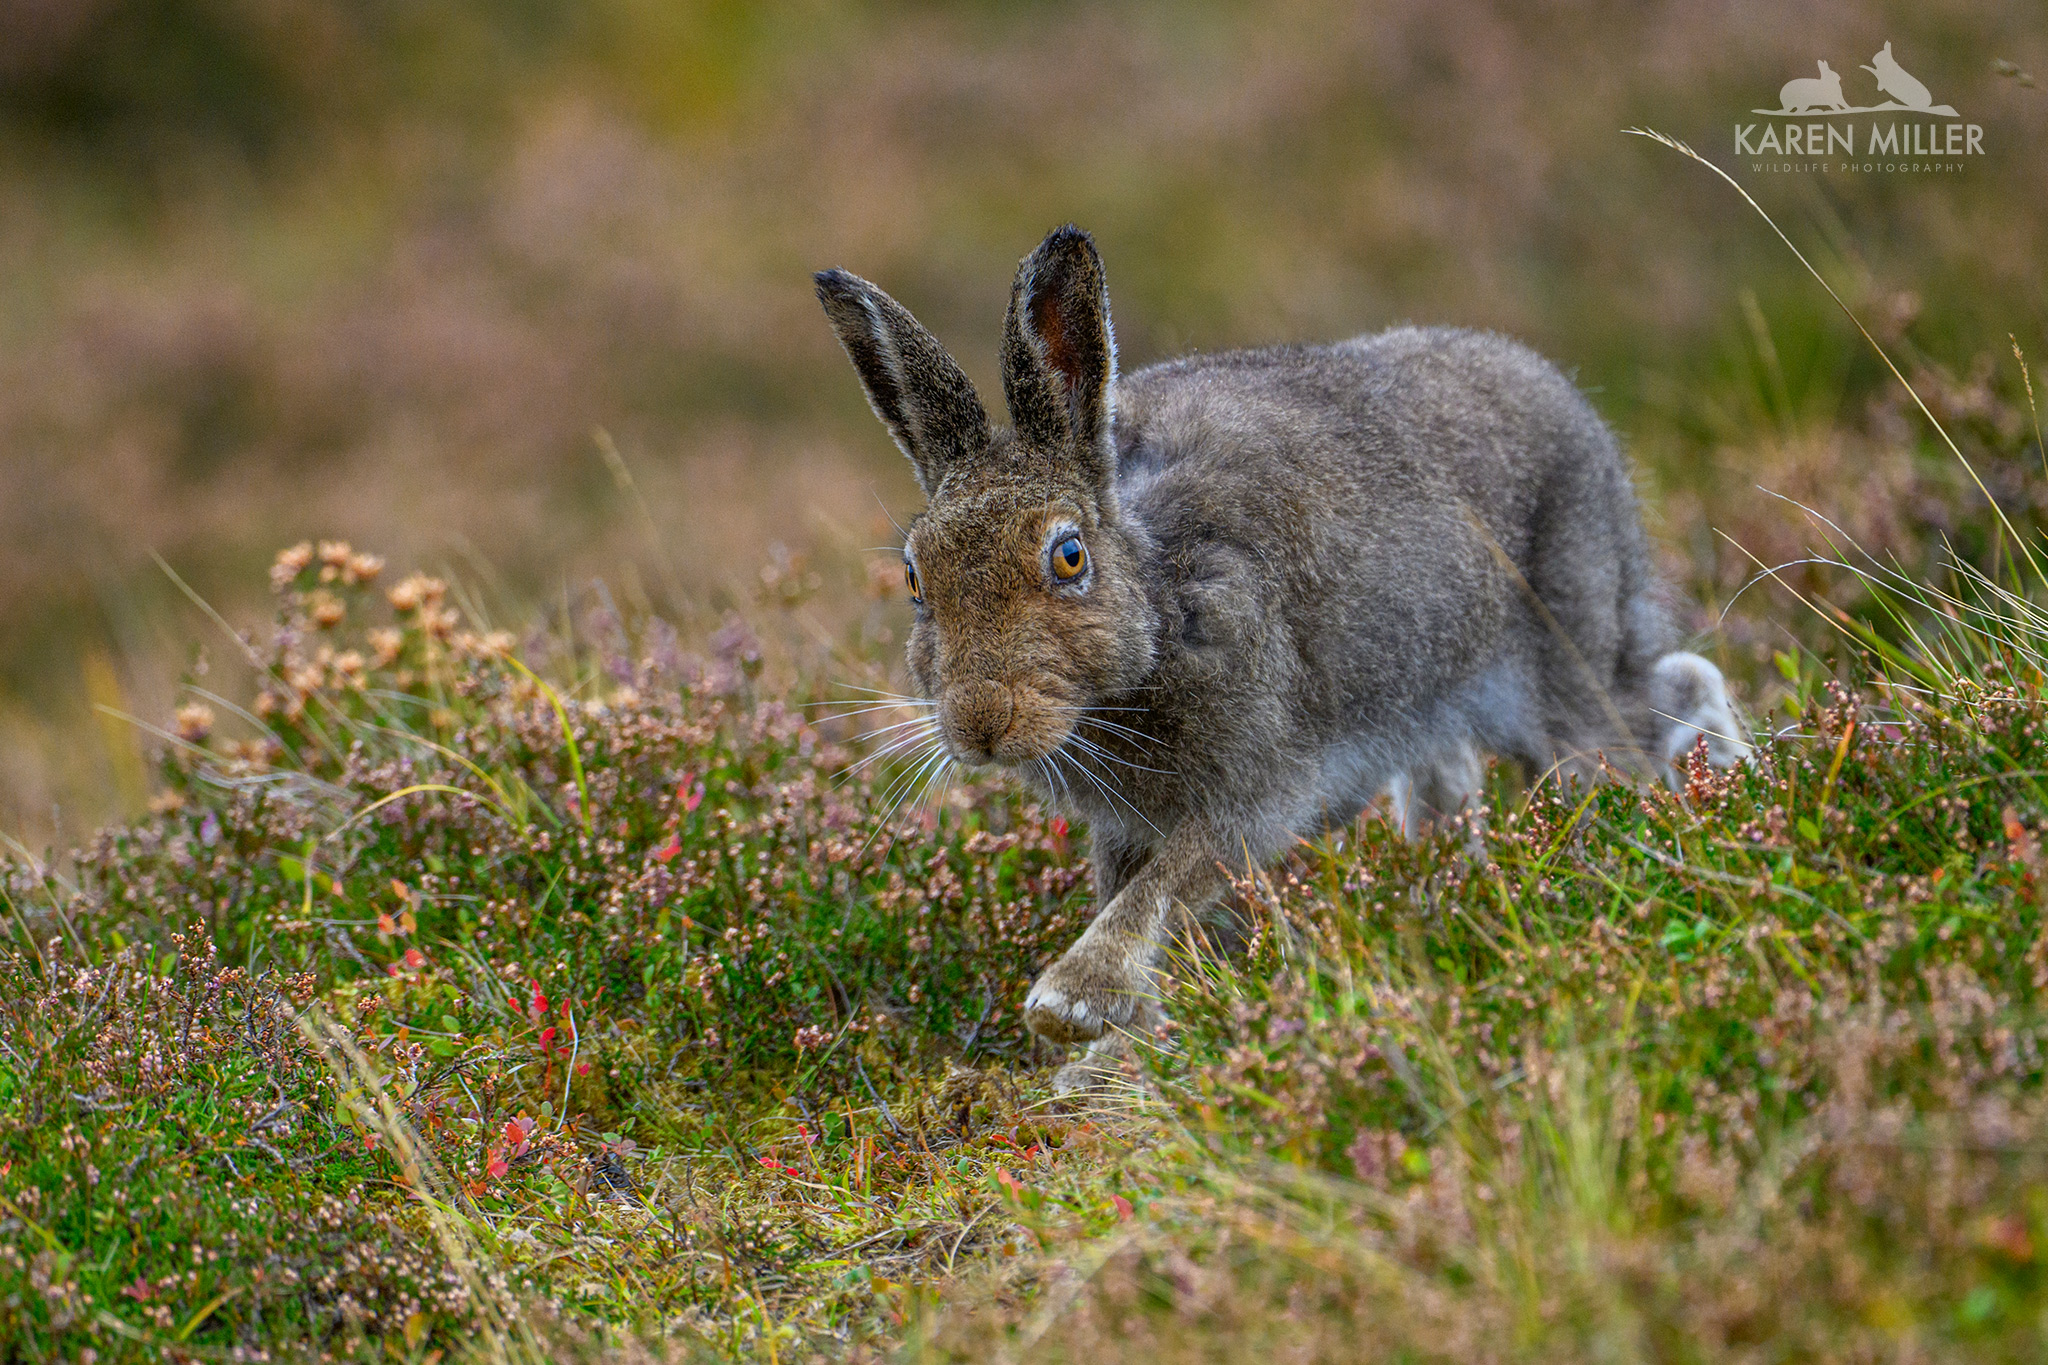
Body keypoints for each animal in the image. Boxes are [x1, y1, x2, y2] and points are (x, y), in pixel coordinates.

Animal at [815, 225, 1749, 1087]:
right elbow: (1142, 902)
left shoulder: (1253, 787)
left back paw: (1719, 807)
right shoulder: (1124, 826)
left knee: (1665, 698)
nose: (979, 723)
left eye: (1069, 556)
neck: (1155, 614)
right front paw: (1113, 1055)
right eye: (915, 575)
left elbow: (1160, 892)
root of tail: (1575, 409)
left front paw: (1071, 1006)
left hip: (1567, 664)